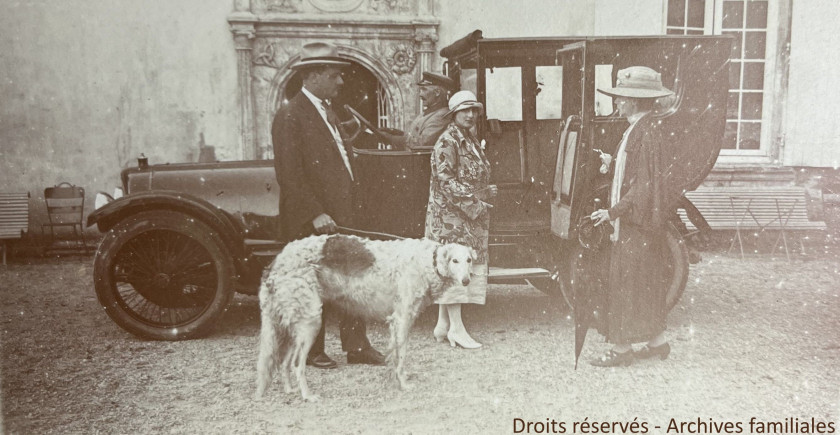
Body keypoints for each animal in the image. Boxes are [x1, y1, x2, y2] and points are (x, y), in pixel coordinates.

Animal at [253, 235, 476, 402]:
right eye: (455, 261)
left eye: (469, 260)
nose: (466, 281)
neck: (429, 260)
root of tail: (276, 262)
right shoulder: (402, 318)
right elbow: (401, 356)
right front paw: (403, 384)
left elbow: (394, 356)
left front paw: (396, 379)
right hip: (311, 322)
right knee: (298, 363)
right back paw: (307, 395)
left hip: (294, 325)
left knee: (285, 363)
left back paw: (290, 390)